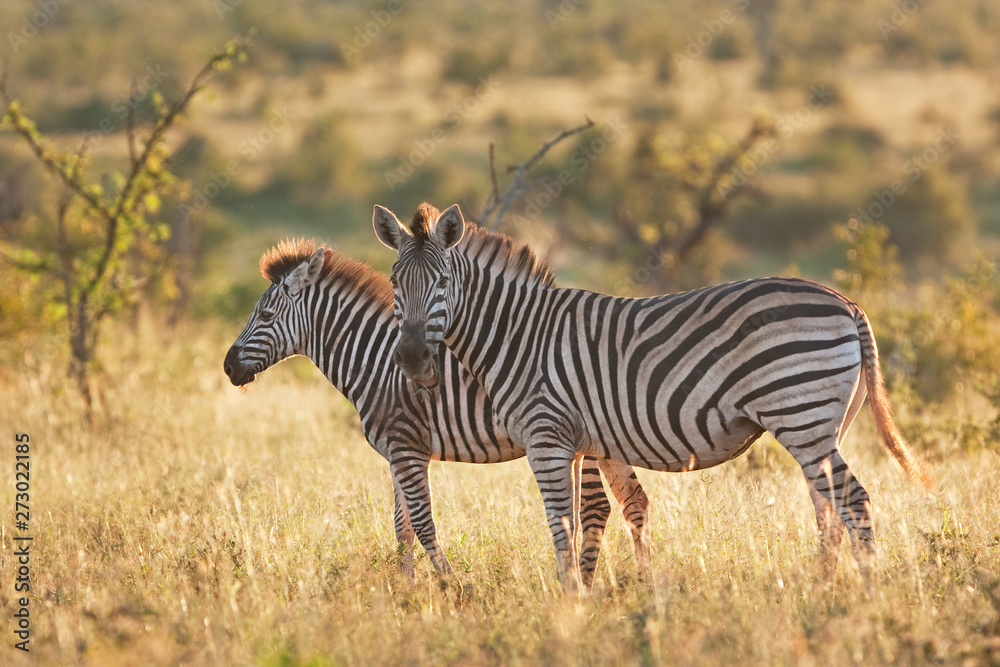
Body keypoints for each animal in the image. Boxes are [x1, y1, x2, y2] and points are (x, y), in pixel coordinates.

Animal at [223, 238, 651, 585]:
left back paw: (593, 582)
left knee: (597, 508)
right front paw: (406, 591)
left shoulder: (407, 449)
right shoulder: (396, 454)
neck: (375, 362)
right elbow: (402, 527)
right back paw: (642, 584)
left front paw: (453, 586)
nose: (227, 367)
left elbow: (423, 524)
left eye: (265, 316)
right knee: (634, 500)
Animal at [373, 201, 934, 592]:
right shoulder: (570, 444)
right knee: (829, 508)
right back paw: (825, 591)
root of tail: (848, 302)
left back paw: (864, 598)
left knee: (853, 502)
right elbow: (574, 524)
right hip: (822, 423)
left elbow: (560, 524)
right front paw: (577, 596)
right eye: (395, 282)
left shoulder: (546, 438)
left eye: (442, 283)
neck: (519, 334)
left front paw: (567, 604)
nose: (413, 361)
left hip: (800, 413)